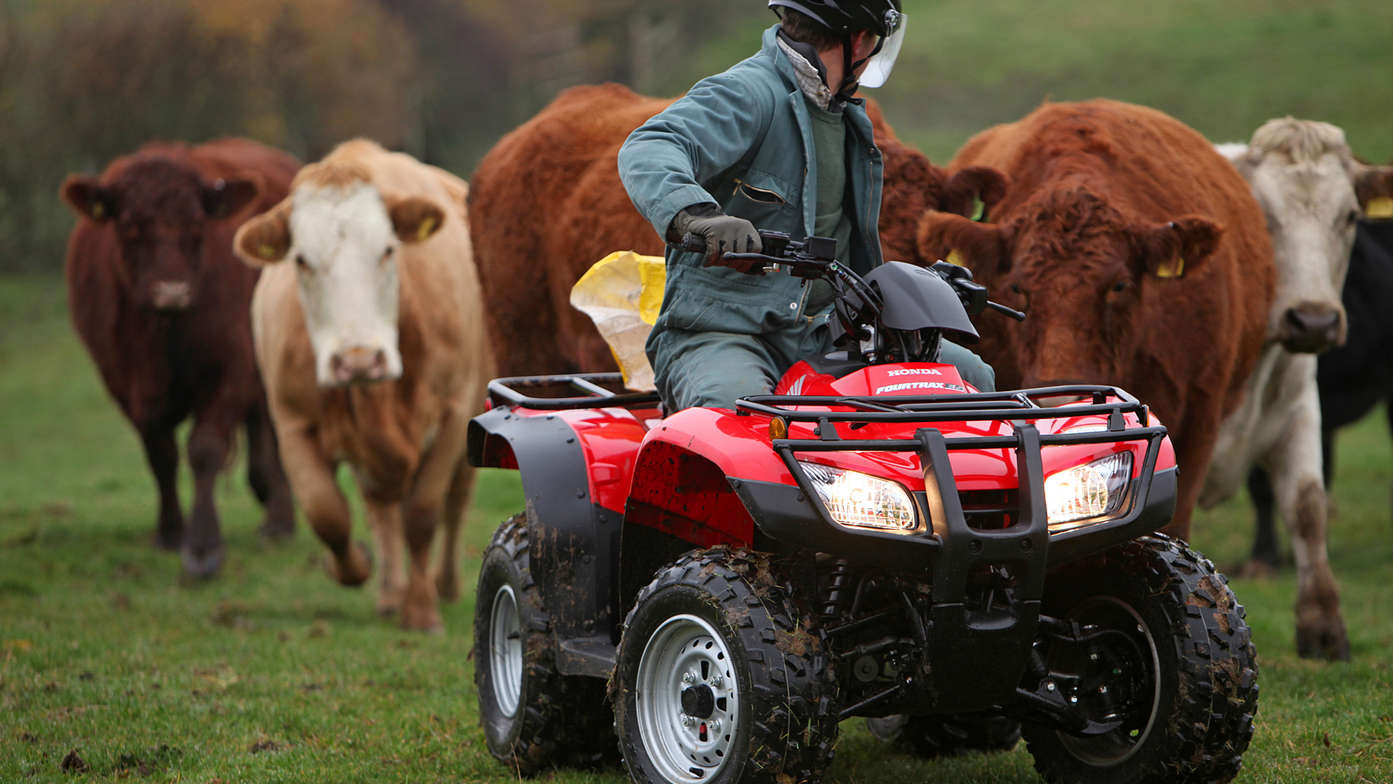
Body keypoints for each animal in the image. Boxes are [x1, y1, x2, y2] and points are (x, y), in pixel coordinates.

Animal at [62, 137, 302, 579]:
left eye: (196, 225)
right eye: (130, 226)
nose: (171, 291)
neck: (163, 334)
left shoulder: (232, 371)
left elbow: (204, 449)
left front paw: (203, 546)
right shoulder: (126, 384)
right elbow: (162, 456)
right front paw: (171, 532)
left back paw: (278, 519)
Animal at [229, 141, 490, 632]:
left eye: (388, 249)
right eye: (301, 260)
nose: (358, 360)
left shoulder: (452, 414)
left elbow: (424, 513)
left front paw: (421, 610)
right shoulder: (291, 424)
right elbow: (326, 512)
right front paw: (351, 568)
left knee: (456, 499)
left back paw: (443, 584)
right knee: (380, 508)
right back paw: (389, 591)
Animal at [1197, 114, 1393, 657]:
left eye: (1350, 216)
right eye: (1261, 215)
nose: (1314, 321)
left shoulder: (1302, 407)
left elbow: (1306, 504)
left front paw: (1323, 629)